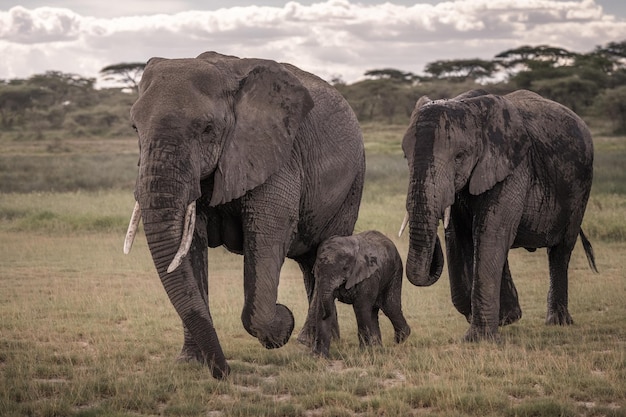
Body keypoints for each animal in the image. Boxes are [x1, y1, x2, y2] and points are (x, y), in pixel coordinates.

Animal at [123, 51, 366, 376]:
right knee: (310, 262)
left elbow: (268, 232)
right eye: (135, 129)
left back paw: (308, 344)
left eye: (207, 129)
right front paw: (189, 362)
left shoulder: (277, 154)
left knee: (325, 248)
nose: (224, 372)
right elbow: (190, 247)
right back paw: (313, 341)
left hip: (354, 181)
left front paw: (281, 324)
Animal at [398, 88, 596, 342]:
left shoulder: (514, 167)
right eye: (406, 156)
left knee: (560, 251)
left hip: (580, 188)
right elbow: (459, 236)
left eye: (459, 157)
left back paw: (558, 322)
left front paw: (478, 338)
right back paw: (511, 316)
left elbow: (490, 232)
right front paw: (502, 319)